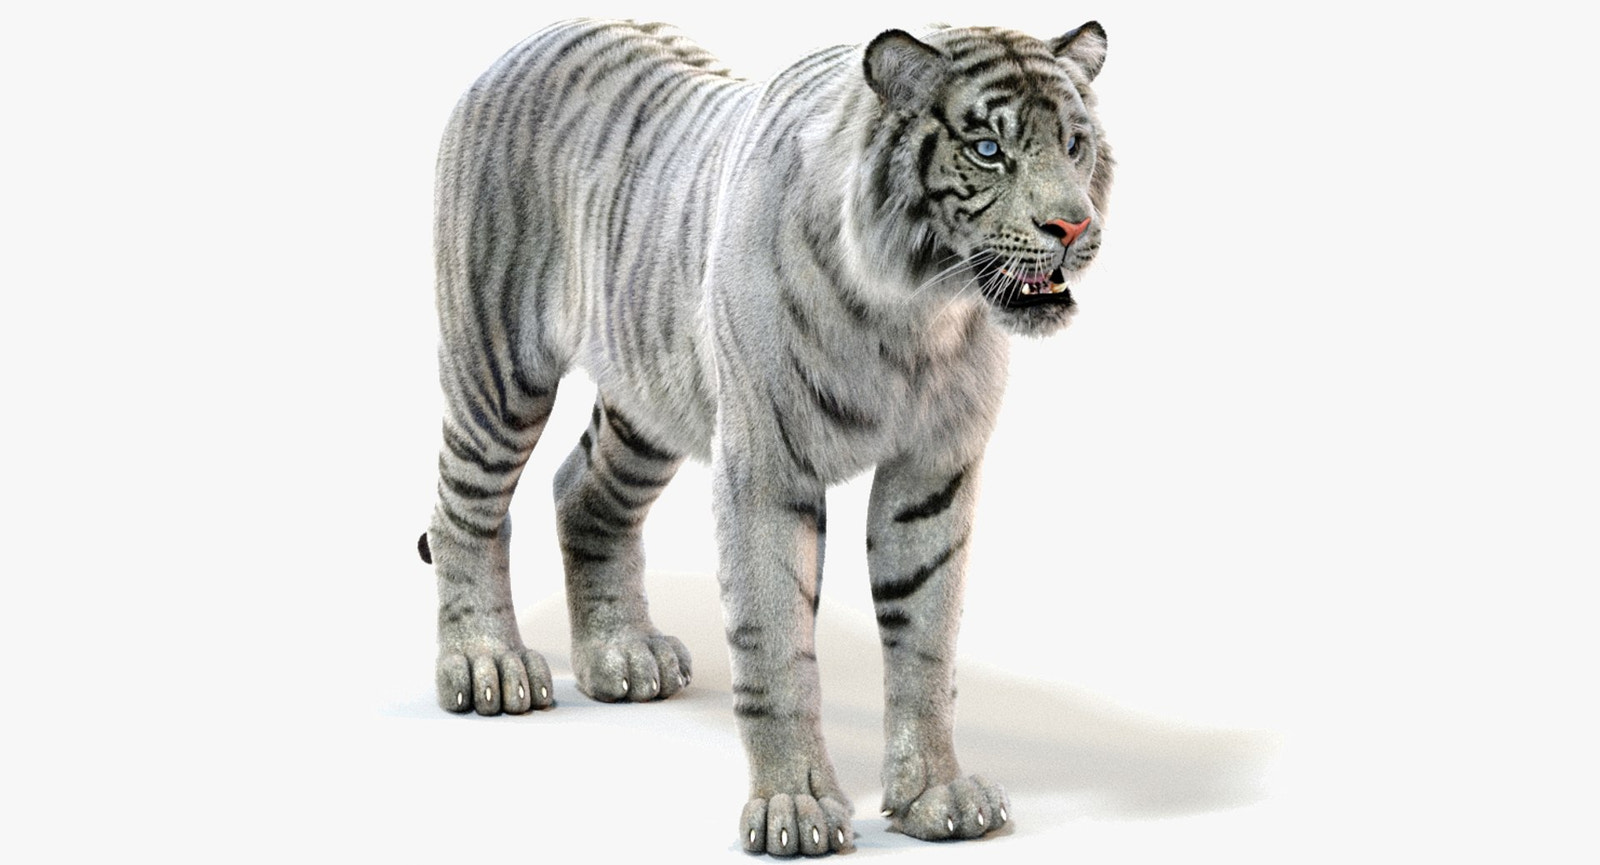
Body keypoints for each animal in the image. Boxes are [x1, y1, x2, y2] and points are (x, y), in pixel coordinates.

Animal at [418, 18, 1112, 855]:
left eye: (1074, 143)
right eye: (987, 149)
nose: (1074, 225)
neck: (915, 314)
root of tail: (535, 37)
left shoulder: (933, 473)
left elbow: (926, 639)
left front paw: (935, 795)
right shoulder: (766, 470)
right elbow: (778, 647)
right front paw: (796, 807)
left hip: (651, 398)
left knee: (581, 492)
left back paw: (622, 652)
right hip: (498, 366)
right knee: (464, 512)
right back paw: (487, 665)